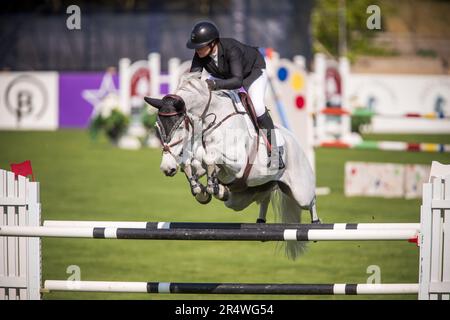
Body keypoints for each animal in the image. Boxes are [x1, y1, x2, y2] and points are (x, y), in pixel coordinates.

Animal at [146, 72, 318, 260]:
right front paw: (202, 189)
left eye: (179, 127)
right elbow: (194, 163)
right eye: (156, 127)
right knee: (265, 196)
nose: (166, 168)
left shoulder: (238, 163)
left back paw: (316, 225)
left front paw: (211, 186)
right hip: (242, 198)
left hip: (301, 192)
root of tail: (295, 142)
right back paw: (255, 220)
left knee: (310, 201)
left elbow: (209, 157)